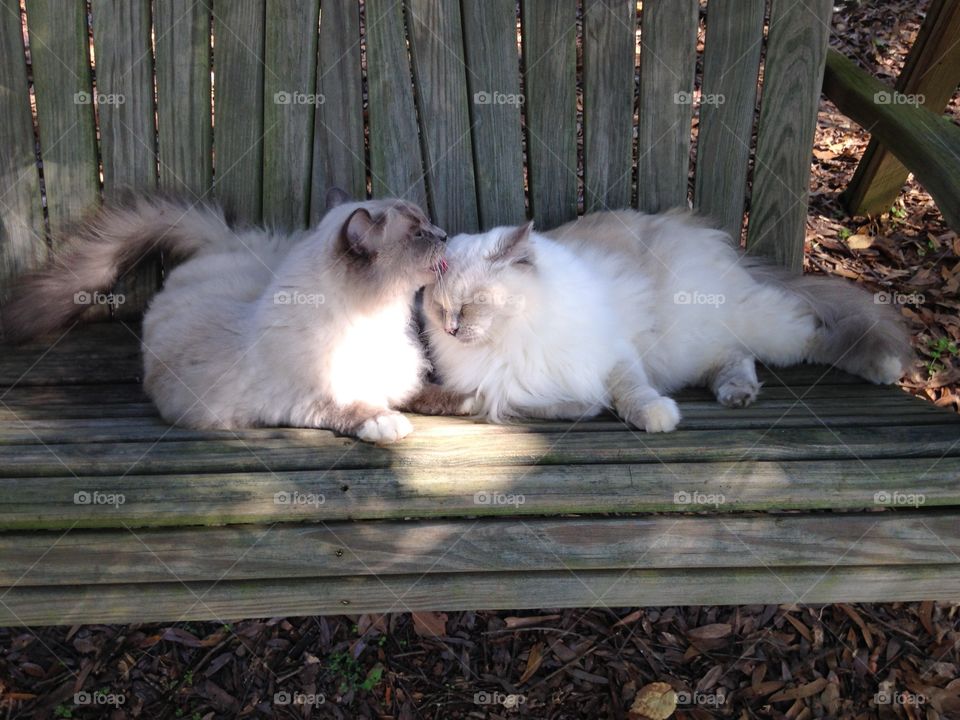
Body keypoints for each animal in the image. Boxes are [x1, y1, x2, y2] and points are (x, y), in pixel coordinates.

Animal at [2, 188, 468, 442]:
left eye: (428, 225)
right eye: (419, 233)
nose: (445, 234)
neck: (378, 318)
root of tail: (219, 246)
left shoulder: (399, 379)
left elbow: (424, 391)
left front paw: (466, 399)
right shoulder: (306, 403)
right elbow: (356, 410)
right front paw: (386, 424)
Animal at [424, 208, 912, 434]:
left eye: (470, 306)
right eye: (440, 308)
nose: (450, 329)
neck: (514, 337)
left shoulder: (614, 353)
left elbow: (631, 392)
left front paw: (656, 416)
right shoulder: (509, 394)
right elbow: (572, 404)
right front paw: (594, 408)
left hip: (759, 328)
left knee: (815, 338)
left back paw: (886, 368)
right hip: (696, 349)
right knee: (737, 357)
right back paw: (737, 394)